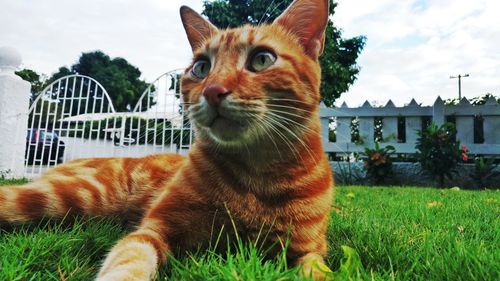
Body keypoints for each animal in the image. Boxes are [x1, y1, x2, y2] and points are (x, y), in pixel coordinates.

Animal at [1, 0, 336, 278]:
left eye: (262, 59)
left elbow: (318, 271)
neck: (256, 177)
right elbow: (130, 261)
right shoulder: (154, 229)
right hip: (64, 197)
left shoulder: (309, 252)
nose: (212, 90)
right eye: (201, 67)